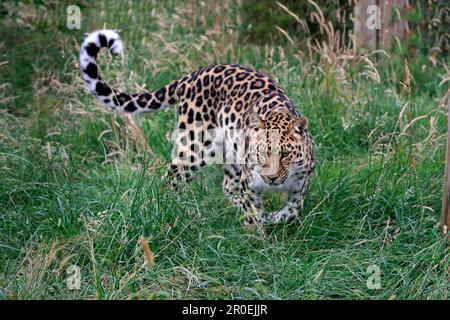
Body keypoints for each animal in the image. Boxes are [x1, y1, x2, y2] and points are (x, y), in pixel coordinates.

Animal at [78, 29, 316, 225]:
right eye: (261, 153)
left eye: (285, 154)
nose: (271, 178)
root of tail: (191, 76)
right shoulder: (249, 184)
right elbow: (253, 215)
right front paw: (258, 240)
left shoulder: (302, 184)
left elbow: (293, 210)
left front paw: (274, 218)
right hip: (196, 146)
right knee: (172, 179)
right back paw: (172, 211)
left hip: (230, 150)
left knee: (227, 185)